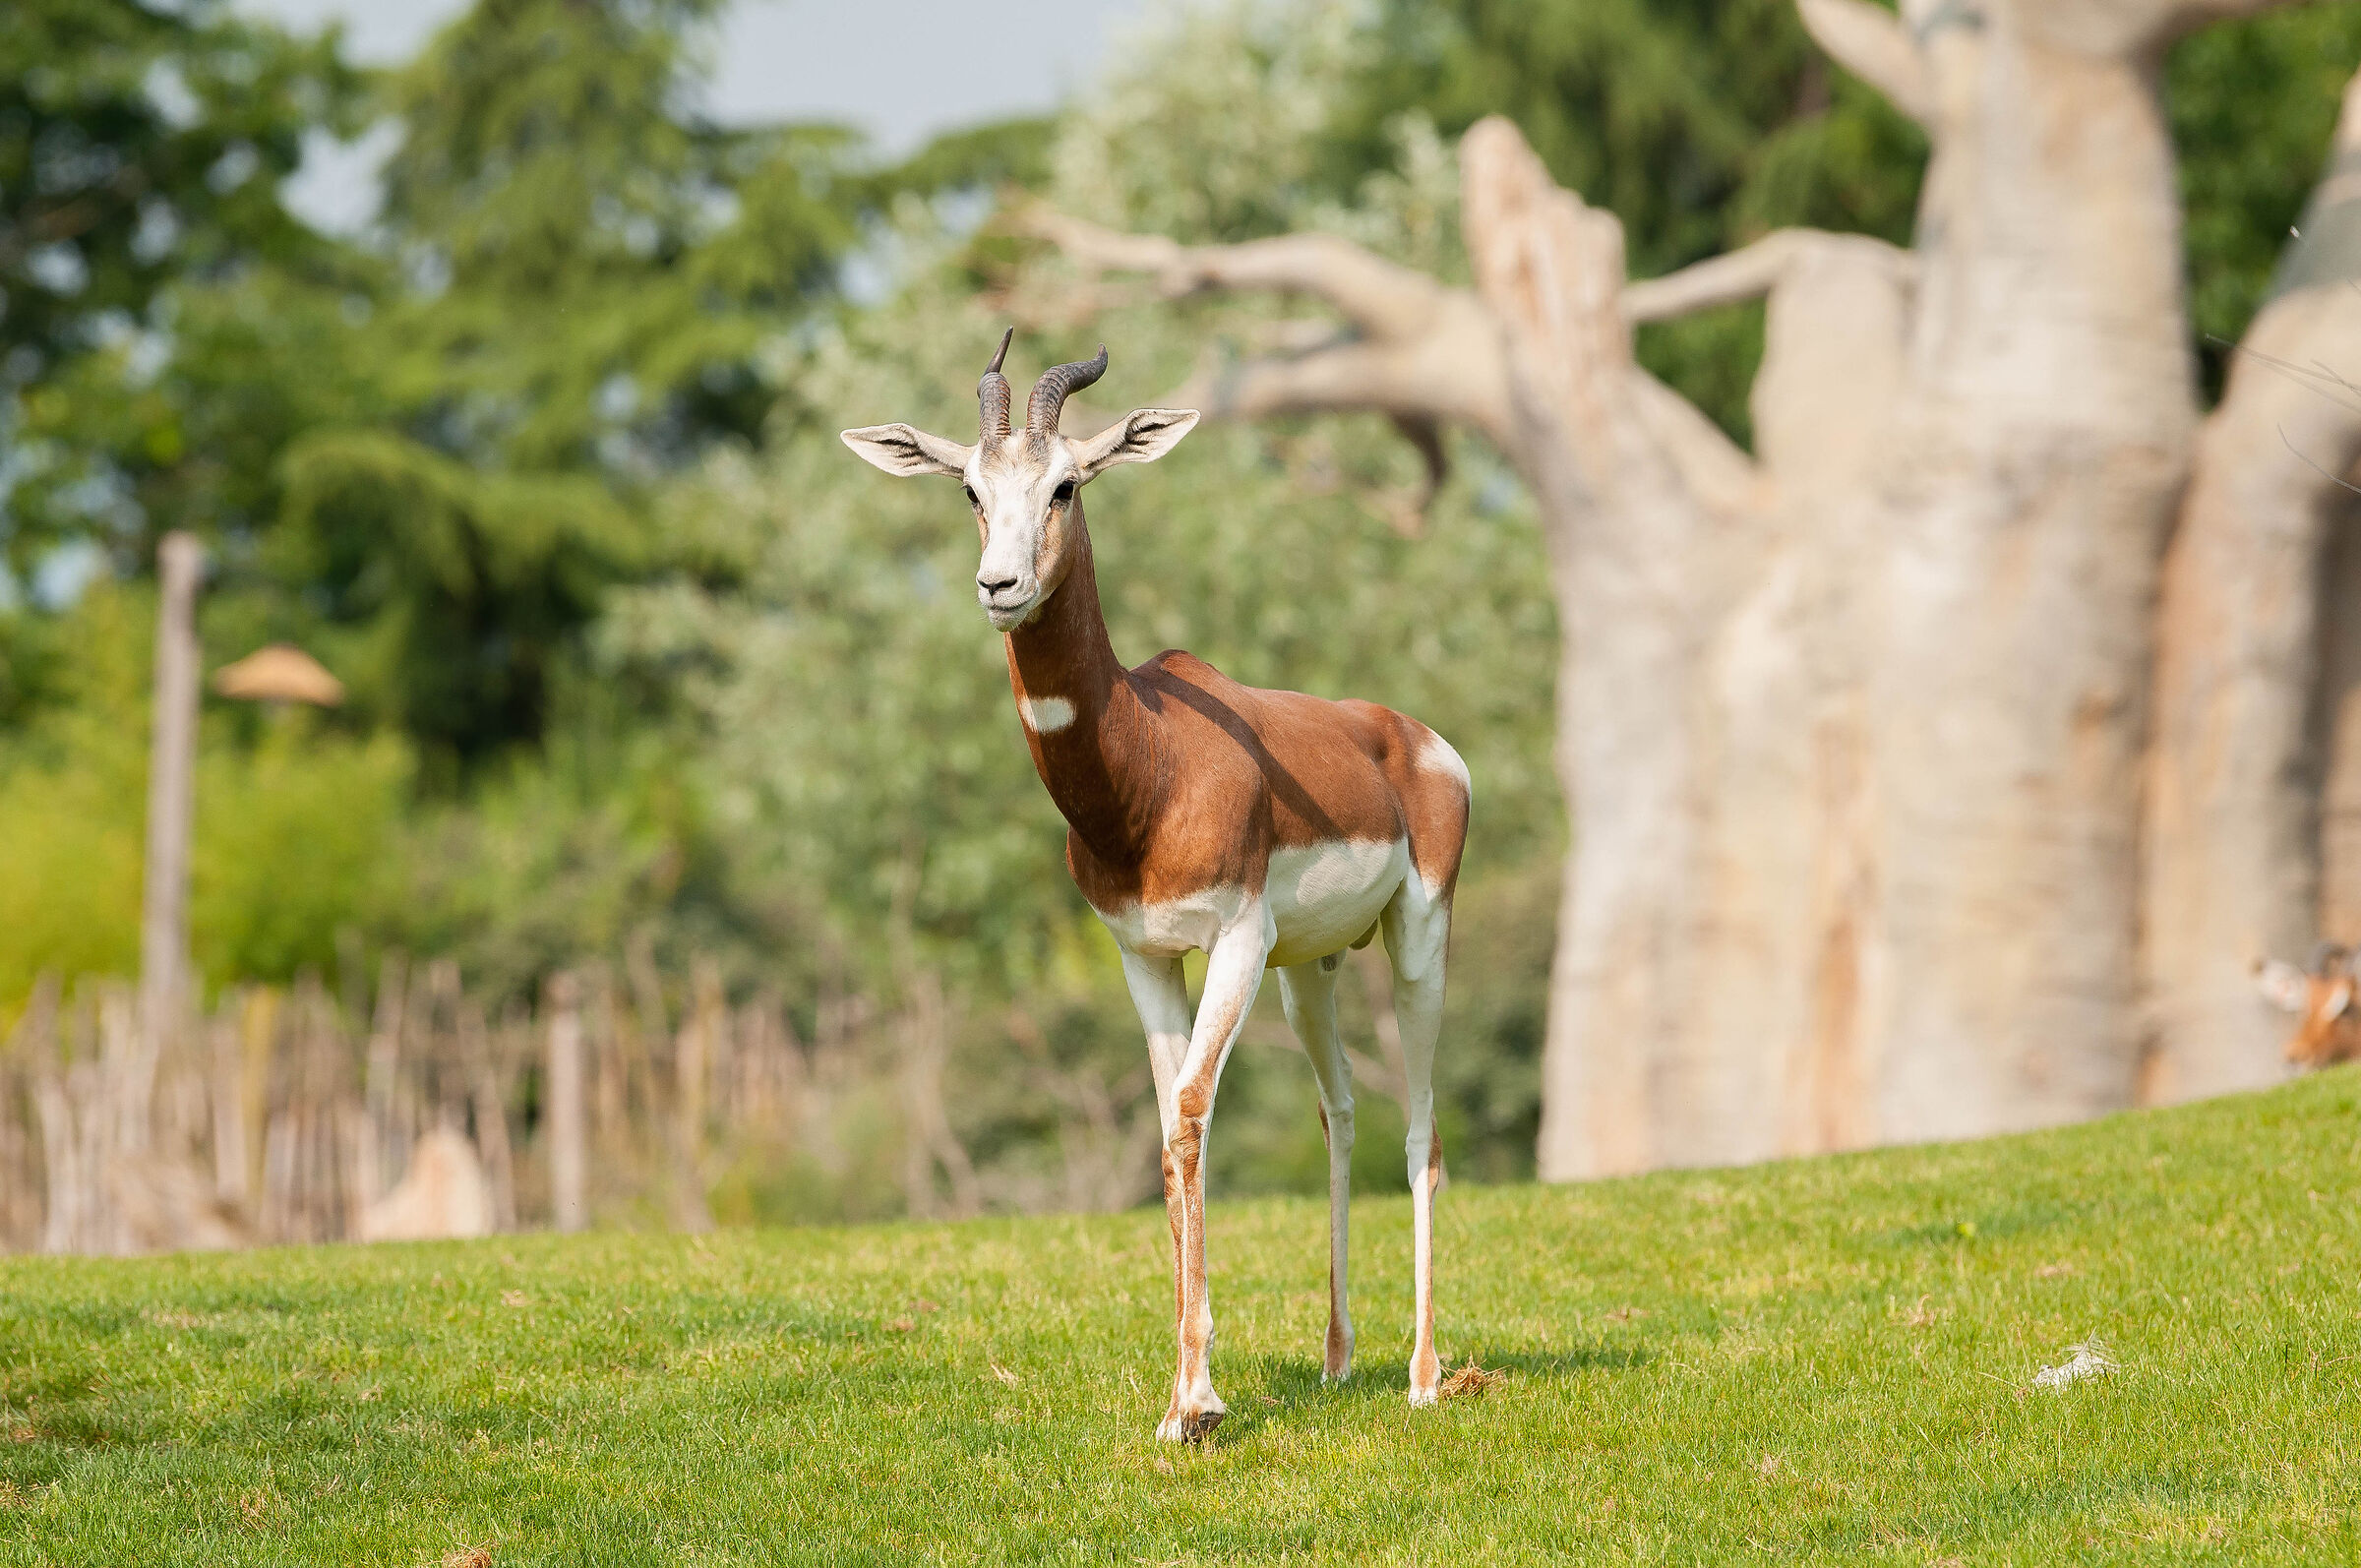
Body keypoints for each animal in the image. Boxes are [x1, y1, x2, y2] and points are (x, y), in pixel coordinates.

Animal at [843, 333, 1469, 1440]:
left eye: (1065, 483)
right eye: (969, 488)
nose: (999, 584)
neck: (1151, 763)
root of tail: (1419, 740)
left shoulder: (1235, 941)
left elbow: (1189, 1116)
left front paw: (1200, 1402)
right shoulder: (1143, 952)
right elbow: (1171, 1135)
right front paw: (1186, 1400)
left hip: (1417, 944)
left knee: (1422, 1131)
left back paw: (1426, 1375)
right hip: (1309, 973)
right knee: (1341, 1111)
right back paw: (1338, 1359)